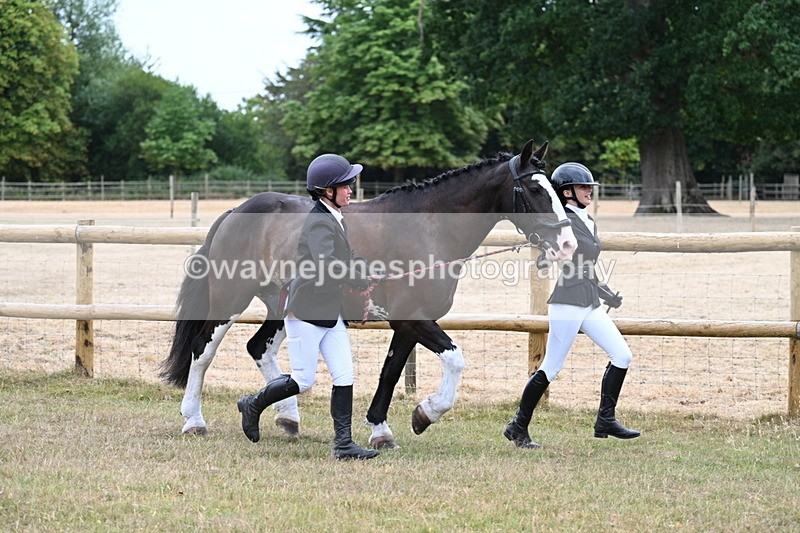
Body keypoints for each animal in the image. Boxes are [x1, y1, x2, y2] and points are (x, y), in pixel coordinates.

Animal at [160, 139, 577, 448]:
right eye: (535, 189)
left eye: (557, 190)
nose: (568, 244)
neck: (430, 227)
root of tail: (236, 211)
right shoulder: (413, 318)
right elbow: (455, 360)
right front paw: (426, 413)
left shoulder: (409, 324)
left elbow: (390, 374)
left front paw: (382, 430)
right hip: (230, 300)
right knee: (202, 351)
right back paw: (194, 421)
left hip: (281, 306)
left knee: (260, 348)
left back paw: (287, 417)